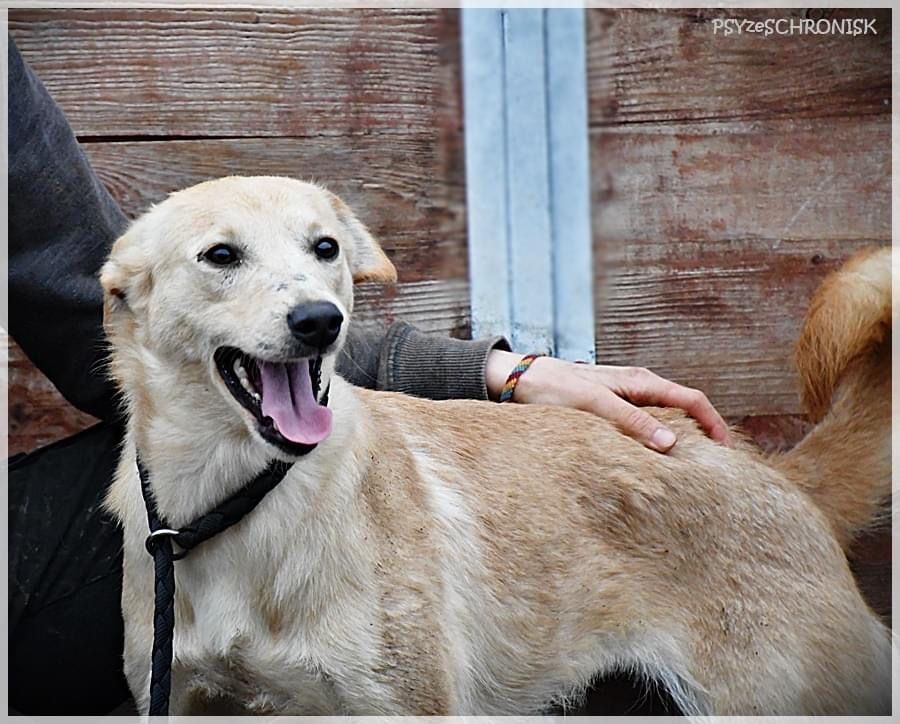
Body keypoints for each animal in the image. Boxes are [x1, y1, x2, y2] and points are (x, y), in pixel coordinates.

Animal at [100, 178, 892, 716]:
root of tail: (773, 472)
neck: (240, 496)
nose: (320, 320)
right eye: (220, 255)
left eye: (325, 248)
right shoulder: (180, 696)